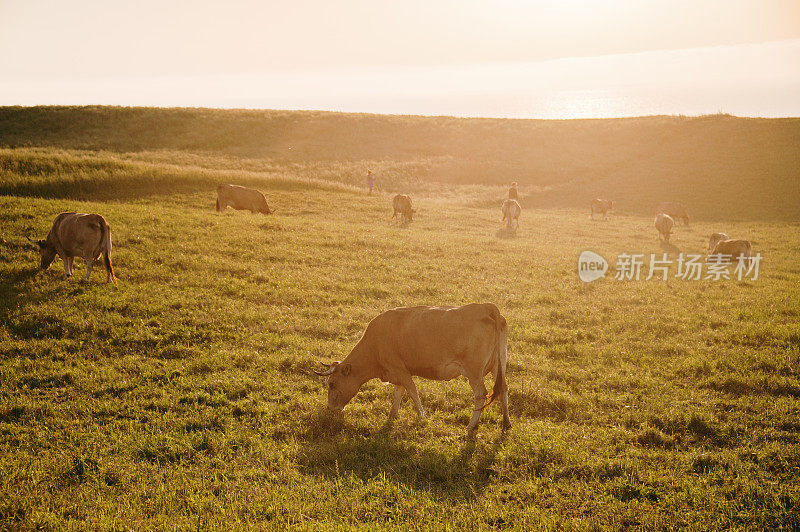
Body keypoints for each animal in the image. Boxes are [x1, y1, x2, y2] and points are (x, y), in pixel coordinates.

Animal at [314, 304, 510, 432]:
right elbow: (398, 393)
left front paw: (422, 416)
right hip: (498, 365)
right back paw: (506, 423)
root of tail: (486, 307)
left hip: (474, 371)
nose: (330, 408)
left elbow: (412, 391)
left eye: (331, 383)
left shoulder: (400, 370)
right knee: (503, 389)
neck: (375, 344)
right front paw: (392, 415)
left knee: (481, 394)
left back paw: (471, 425)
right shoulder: (397, 373)